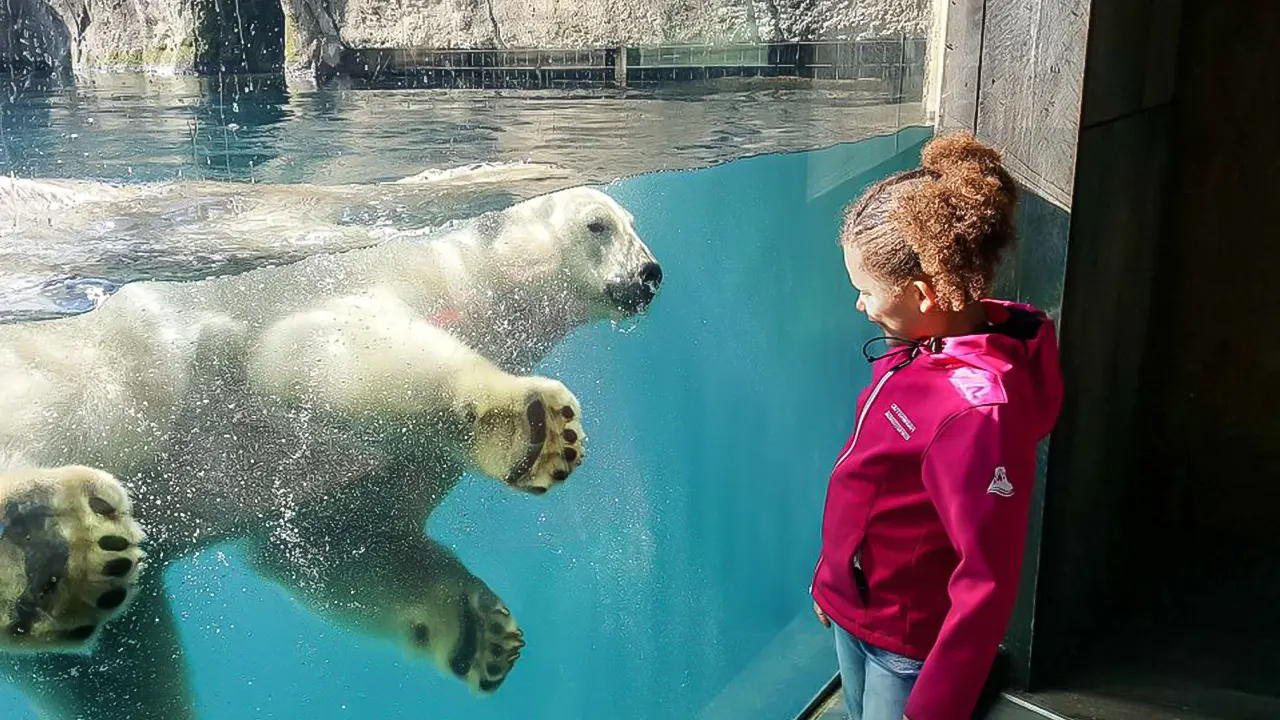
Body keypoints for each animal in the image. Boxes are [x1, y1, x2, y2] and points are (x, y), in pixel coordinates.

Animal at [0, 183, 665, 717]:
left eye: (632, 222)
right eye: (597, 225)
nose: (650, 274)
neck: (467, 273)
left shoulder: (396, 465)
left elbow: (344, 538)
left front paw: (480, 634)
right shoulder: (360, 284)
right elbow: (314, 349)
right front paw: (534, 424)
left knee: (114, 670)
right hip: (109, 359)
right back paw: (45, 538)